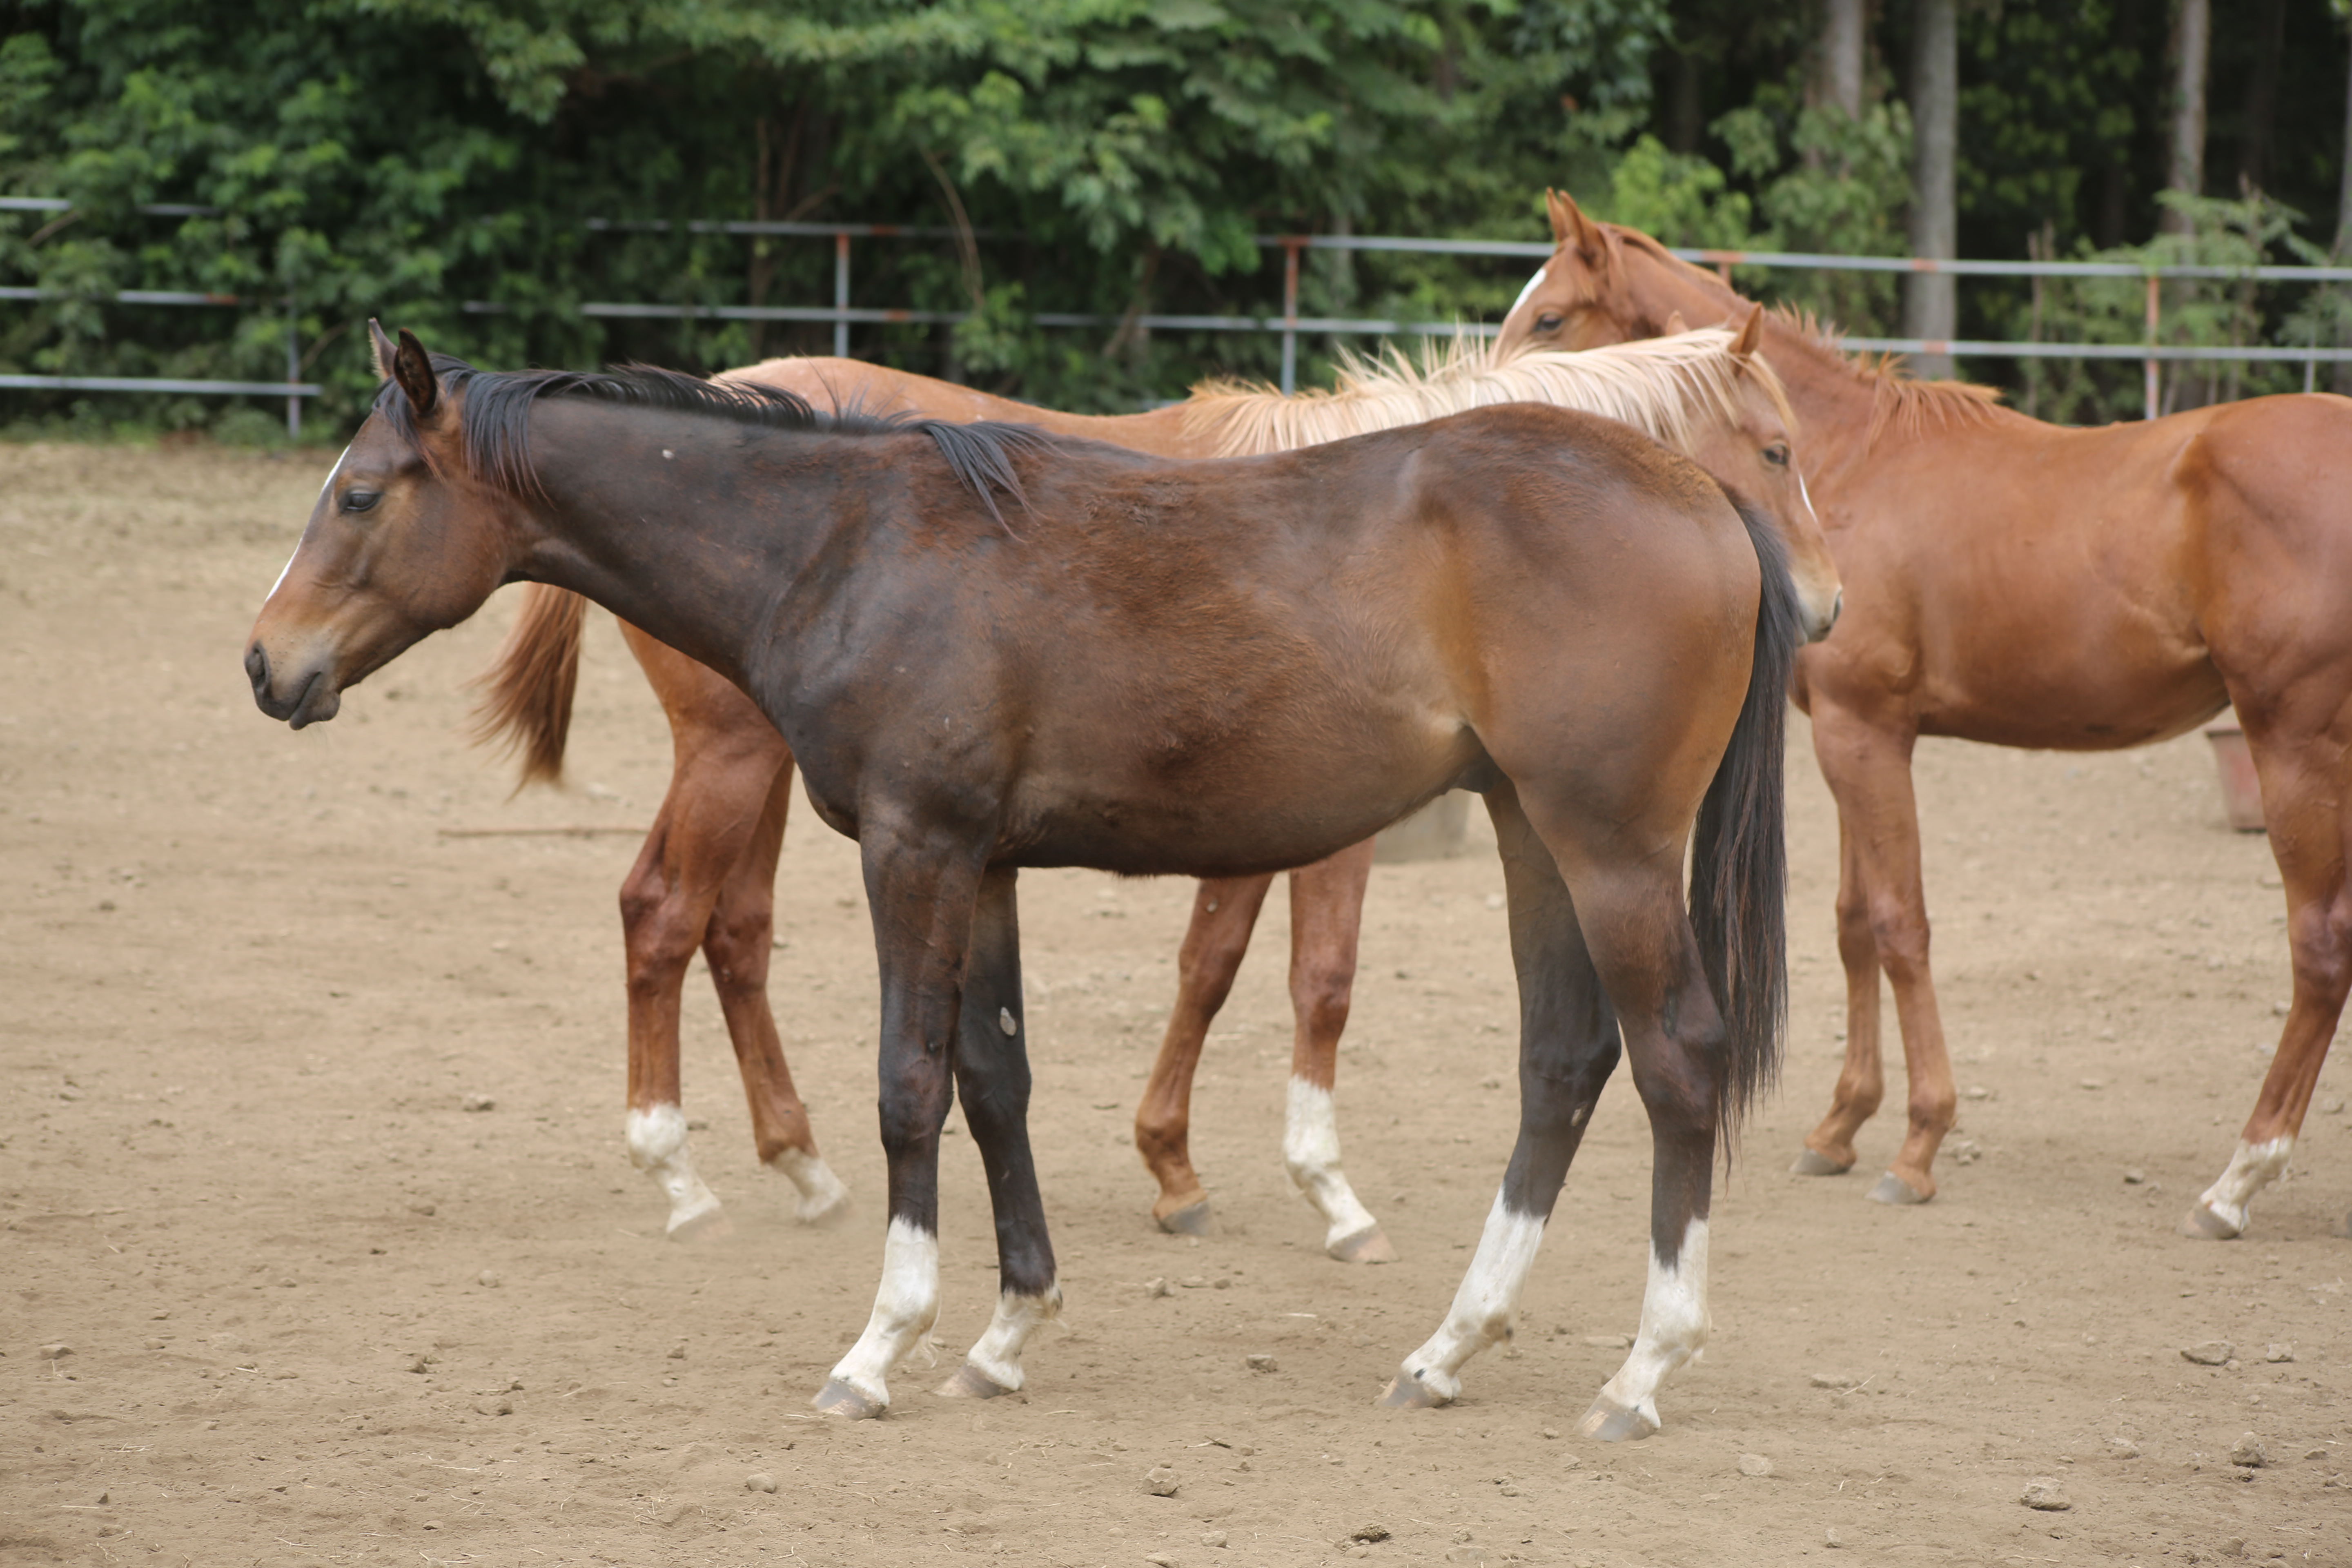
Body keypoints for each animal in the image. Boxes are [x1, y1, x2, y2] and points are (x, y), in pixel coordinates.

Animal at [1505, 190, 2352, 1241]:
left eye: (1549, 318)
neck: (1837, 473)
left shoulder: (1865, 733)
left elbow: (1899, 923)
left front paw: (1915, 1146)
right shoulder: (1844, 734)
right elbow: (1851, 924)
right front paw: (1838, 1127)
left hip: (2293, 744)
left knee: (2319, 946)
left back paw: (2238, 1179)